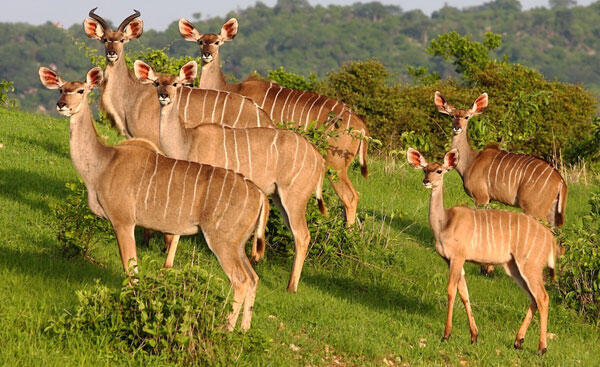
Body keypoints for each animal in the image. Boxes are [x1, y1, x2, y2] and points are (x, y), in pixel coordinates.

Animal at [38, 67, 270, 334]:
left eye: (80, 90)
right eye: (60, 89)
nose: (61, 104)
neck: (103, 164)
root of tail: (259, 195)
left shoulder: (123, 221)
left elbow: (132, 270)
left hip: (223, 240)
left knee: (240, 280)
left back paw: (226, 330)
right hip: (239, 243)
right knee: (253, 278)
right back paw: (243, 330)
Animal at [135, 61, 328, 294]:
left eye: (175, 84)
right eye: (156, 82)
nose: (164, 96)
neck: (188, 141)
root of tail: (319, 159)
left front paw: (168, 263)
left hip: (294, 198)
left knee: (302, 234)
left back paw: (291, 287)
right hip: (279, 198)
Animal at [176, 18, 368, 227]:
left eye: (217, 42)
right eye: (200, 41)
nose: (207, 54)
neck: (229, 89)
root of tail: (361, 128)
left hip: (336, 165)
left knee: (350, 197)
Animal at [408, 149, 556, 356]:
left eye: (439, 170)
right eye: (424, 169)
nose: (426, 181)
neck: (444, 223)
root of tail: (550, 240)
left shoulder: (458, 257)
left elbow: (451, 291)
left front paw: (446, 335)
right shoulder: (452, 260)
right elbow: (464, 293)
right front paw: (474, 336)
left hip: (530, 265)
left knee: (542, 297)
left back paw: (542, 348)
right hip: (514, 267)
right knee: (533, 298)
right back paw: (518, 341)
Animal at [436, 92, 568, 276]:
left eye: (467, 117)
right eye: (452, 116)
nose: (457, 128)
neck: (471, 161)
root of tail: (561, 181)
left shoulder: (481, 197)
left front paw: (486, 269)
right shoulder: (489, 199)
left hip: (534, 209)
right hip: (552, 212)